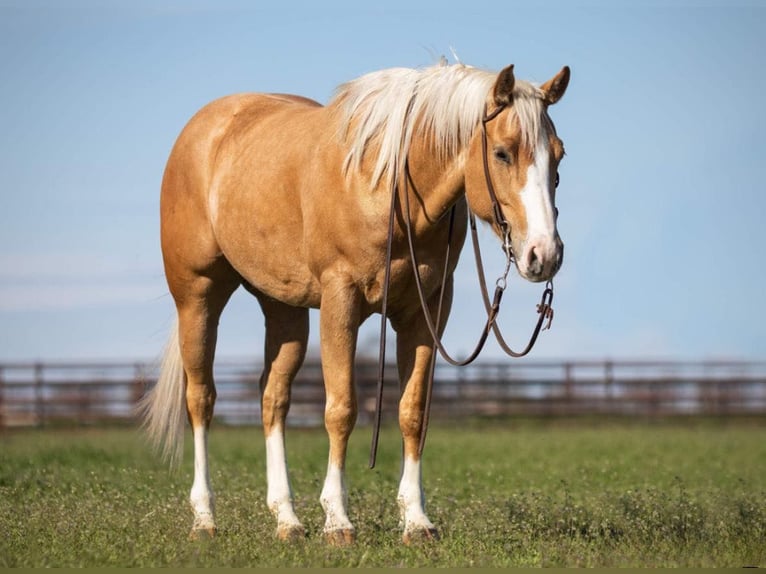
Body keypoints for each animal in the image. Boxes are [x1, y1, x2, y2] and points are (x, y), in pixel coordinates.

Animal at [140, 60, 568, 548]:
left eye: (559, 155)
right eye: (502, 153)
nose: (544, 254)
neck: (391, 188)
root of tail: (203, 128)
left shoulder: (426, 311)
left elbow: (412, 412)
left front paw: (416, 520)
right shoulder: (339, 300)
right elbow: (341, 409)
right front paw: (338, 520)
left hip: (284, 309)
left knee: (273, 400)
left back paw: (287, 519)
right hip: (197, 296)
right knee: (201, 399)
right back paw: (204, 517)